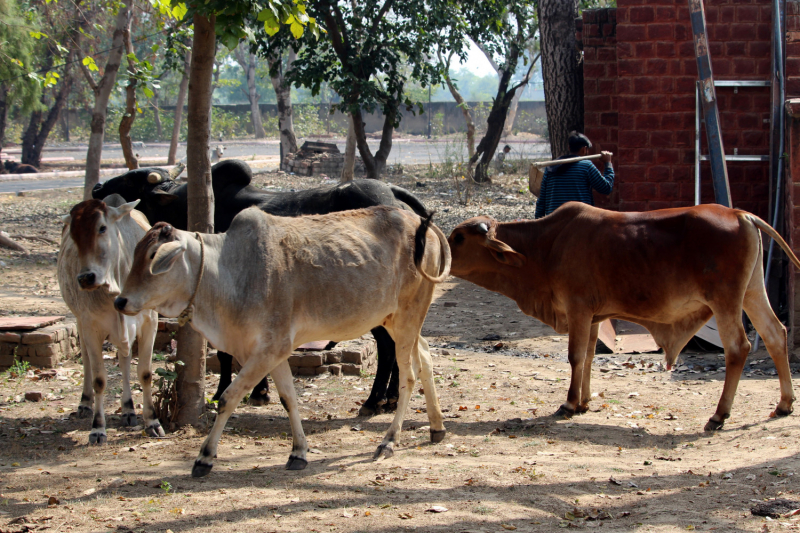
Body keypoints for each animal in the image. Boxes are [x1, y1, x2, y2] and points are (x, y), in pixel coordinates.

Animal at [94, 159, 416, 416]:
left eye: (129, 180)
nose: (97, 187)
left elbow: (227, 353)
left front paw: (228, 392)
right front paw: (259, 390)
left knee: (388, 347)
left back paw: (374, 401)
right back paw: (390, 398)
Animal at [450, 202, 800, 430]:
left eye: (459, 238)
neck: (546, 246)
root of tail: (740, 214)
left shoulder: (578, 309)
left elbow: (575, 357)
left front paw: (569, 404)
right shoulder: (593, 316)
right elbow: (589, 357)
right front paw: (584, 402)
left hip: (725, 301)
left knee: (738, 348)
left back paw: (718, 415)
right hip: (752, 292)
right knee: (775, 334)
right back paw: (783, 404)